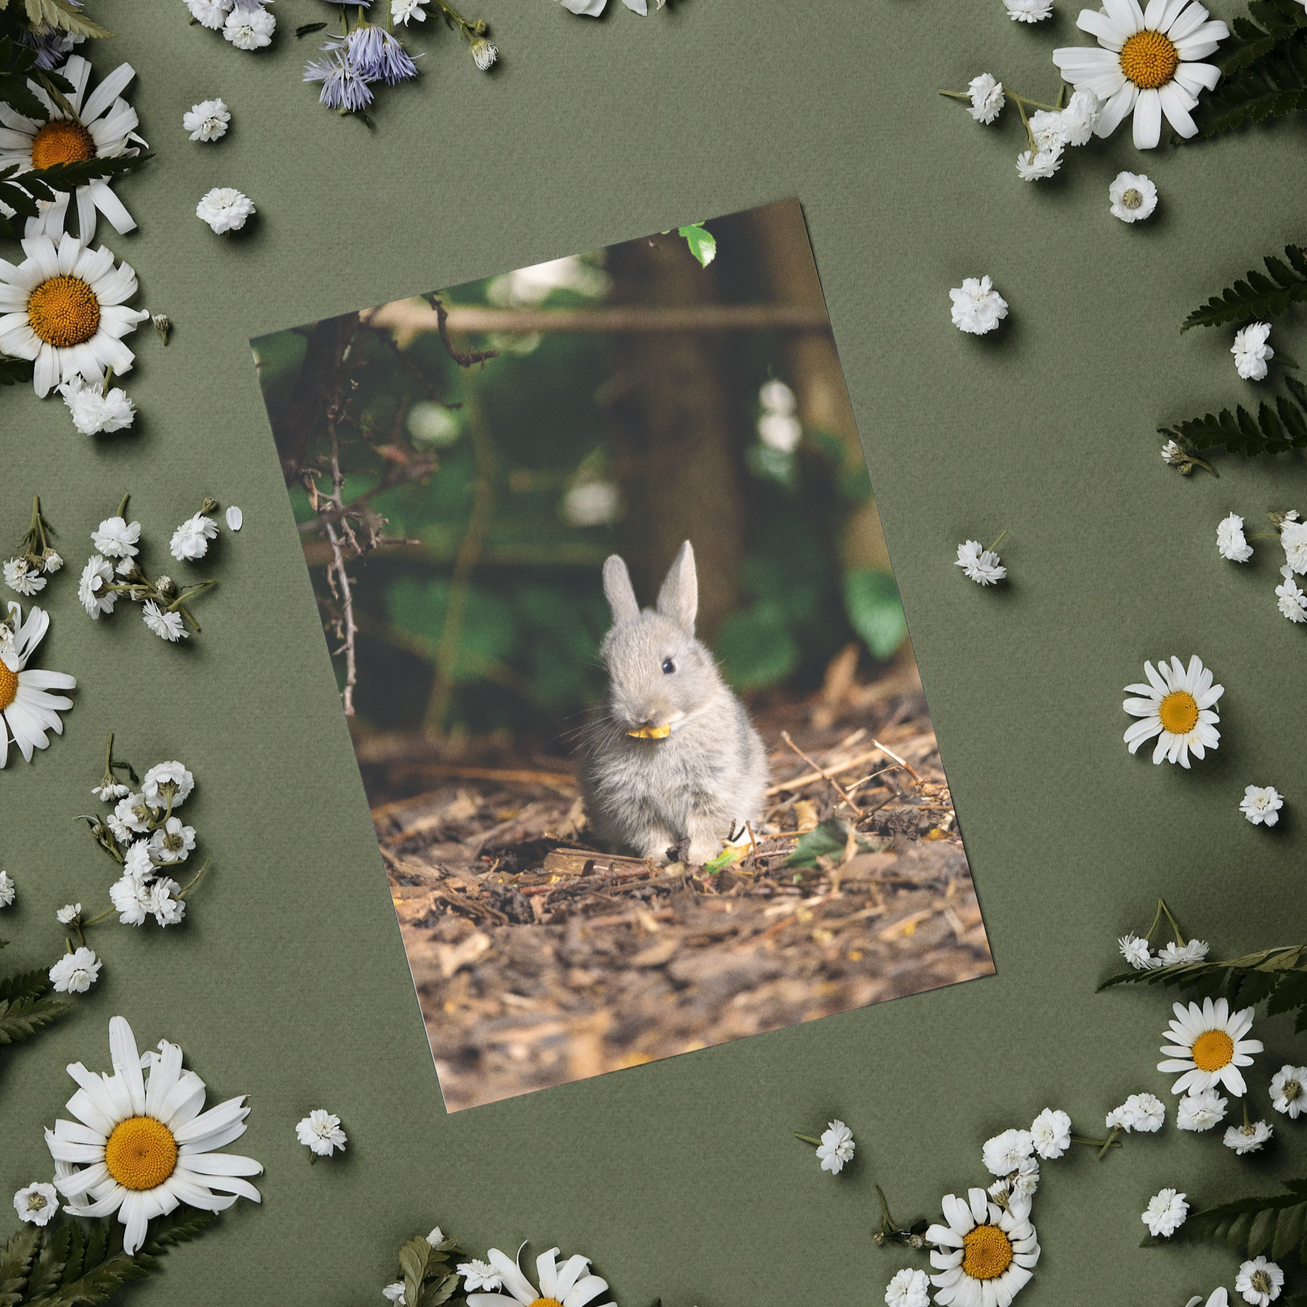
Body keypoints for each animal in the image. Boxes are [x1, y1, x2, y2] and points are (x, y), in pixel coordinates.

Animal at [576, 540, 768, 866]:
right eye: (609, 675)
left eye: (668, 666)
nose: (640, 714)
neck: (662, 737)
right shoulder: (632, 802)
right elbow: (651, 833)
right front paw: (660, 859)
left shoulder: (711, 787)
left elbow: (705, 825)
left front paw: (699, 858)